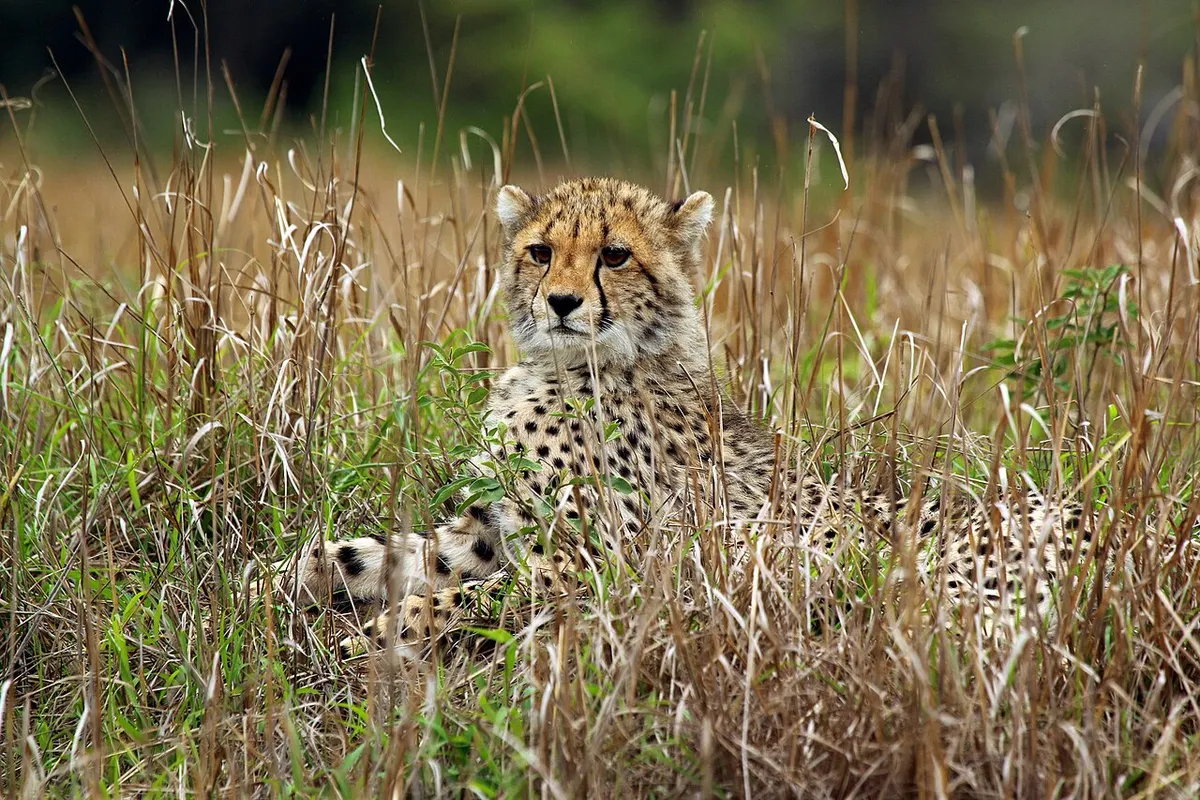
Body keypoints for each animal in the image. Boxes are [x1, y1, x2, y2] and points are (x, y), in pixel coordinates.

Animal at [262, 177, 1107, 658]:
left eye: (614, 256)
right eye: (540, 251)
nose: (561, 302)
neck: (572, 365)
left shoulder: (594, 566)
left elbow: (455, 599)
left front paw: (381, 634)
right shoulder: (487, 530)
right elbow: (378, 551)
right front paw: (278, 581)